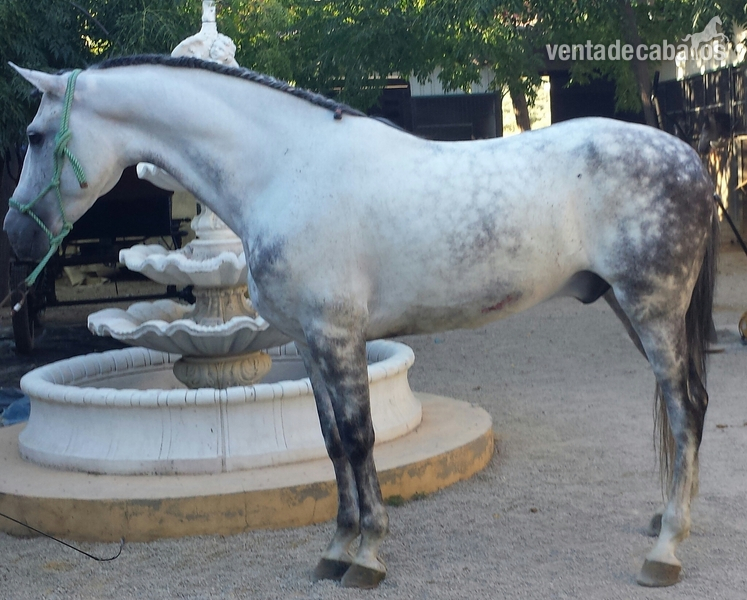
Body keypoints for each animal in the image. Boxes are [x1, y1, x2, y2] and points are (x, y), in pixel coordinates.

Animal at [5, 55, 718, 589]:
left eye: (34, 137)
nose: (15, 234)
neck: (284, 167)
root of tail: (687, 155)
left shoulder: (338, 337)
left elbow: (360, 438)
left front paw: (368, 555)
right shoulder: (309, 344)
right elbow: (330, 443)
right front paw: (336, 548)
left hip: (652, 308)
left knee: (685, 407)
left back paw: (666, 550)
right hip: (630, 307)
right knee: (682, 406)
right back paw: (661, 521)